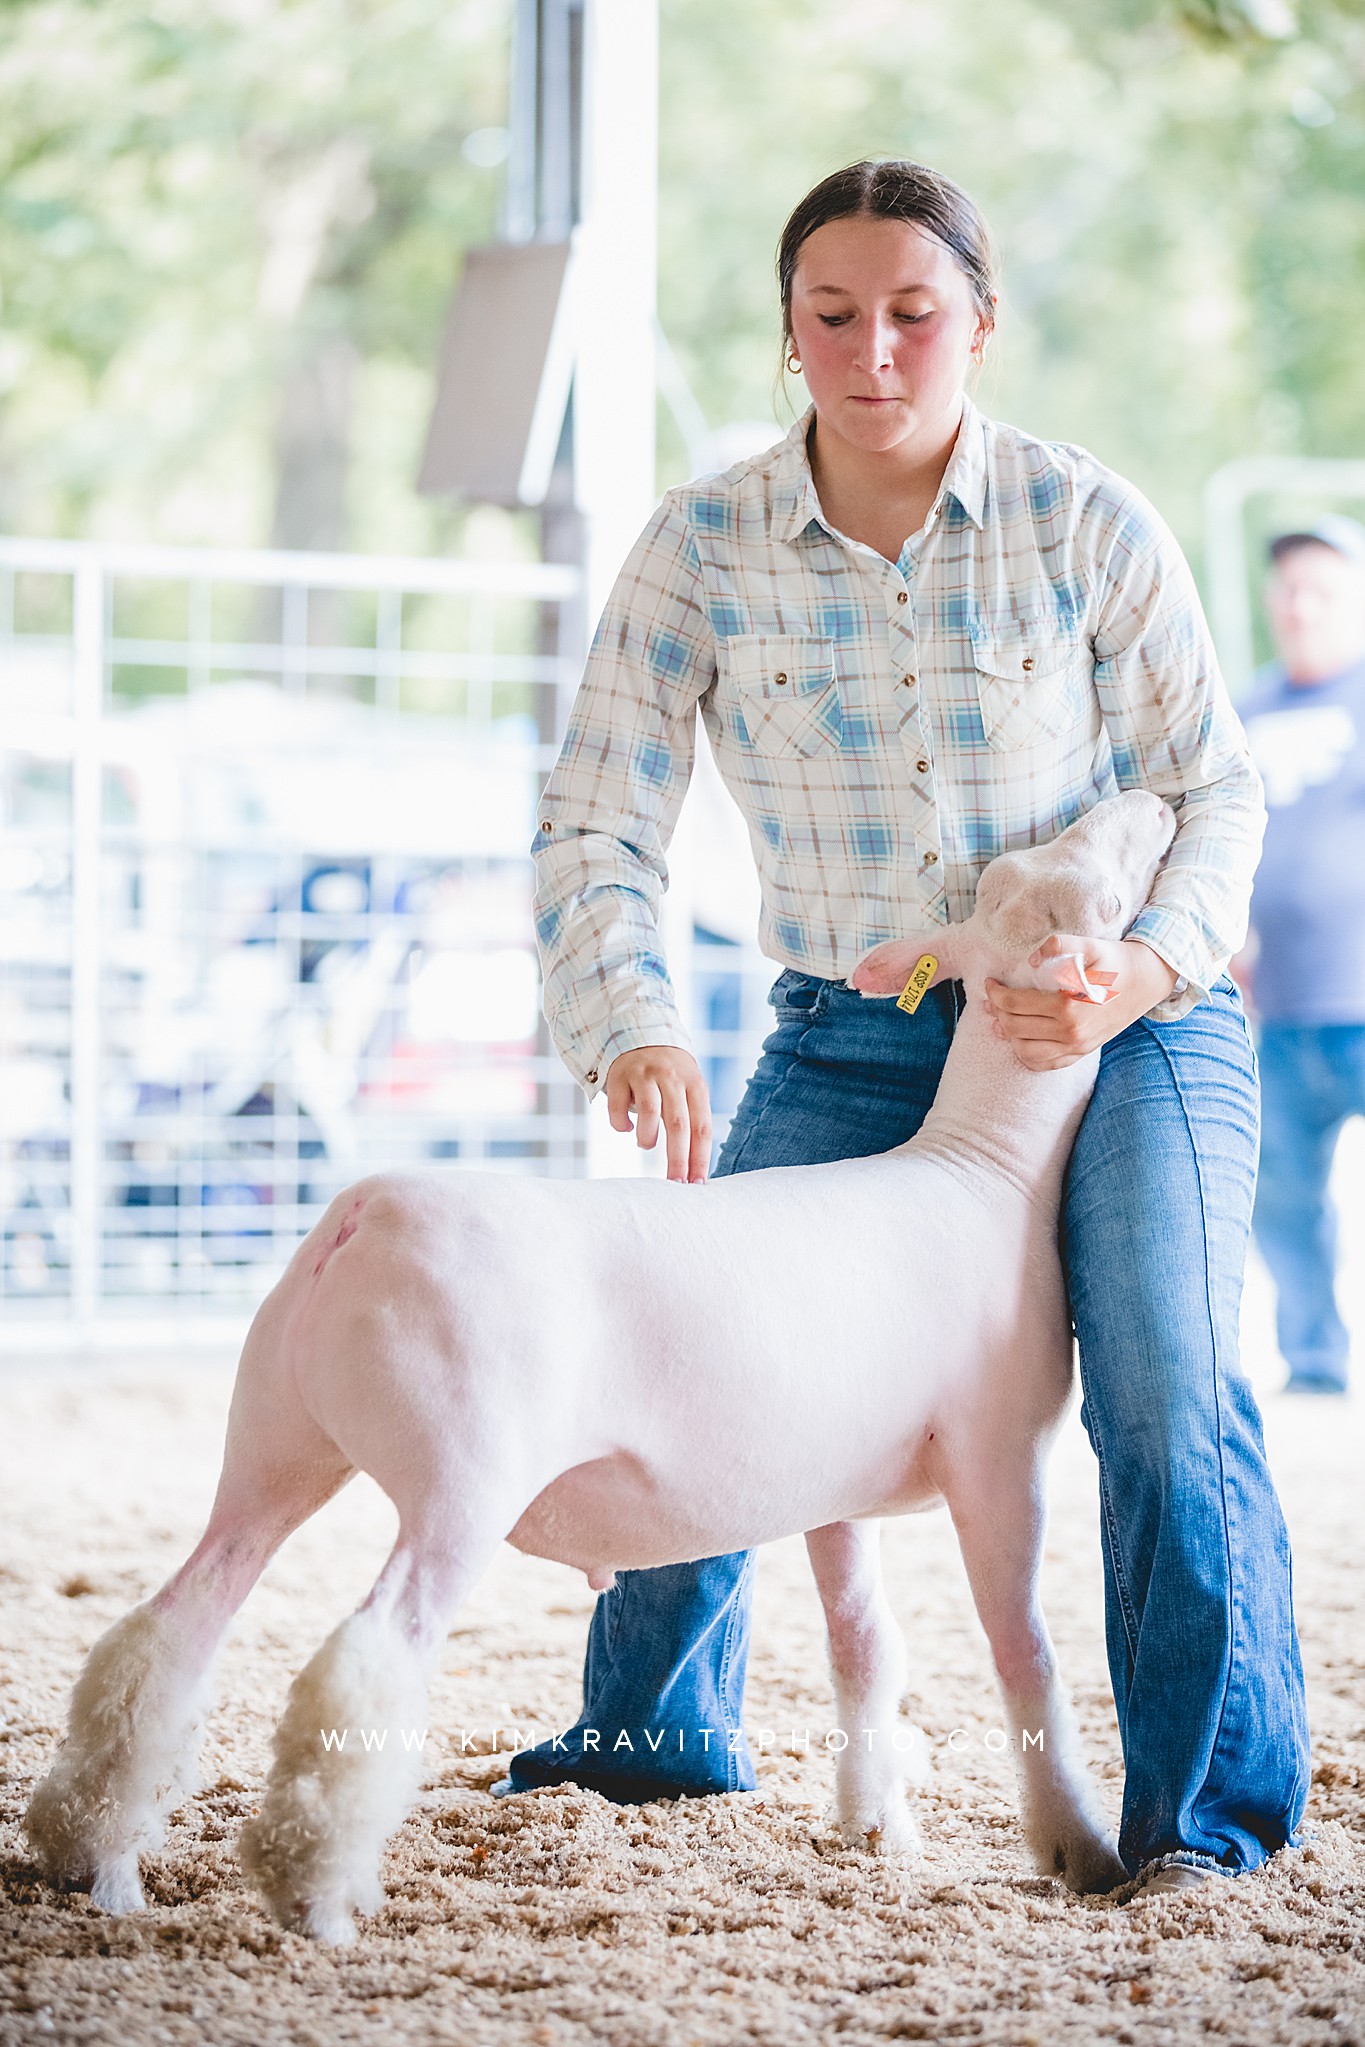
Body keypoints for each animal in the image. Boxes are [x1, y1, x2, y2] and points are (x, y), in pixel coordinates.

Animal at [26, 790, 1178, 1940]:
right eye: (1095, 900)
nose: (1149, 801)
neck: (985, 1166)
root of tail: (362, 1211)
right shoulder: (1000, 1460)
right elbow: (1027, 1653)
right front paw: (1077, 1847)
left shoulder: (839, 1485)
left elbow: (863, 1644)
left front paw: (874, 1825)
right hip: (460, 1475)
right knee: (365, 1660)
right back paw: (316, 1894)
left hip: (275, 1438)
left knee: (165, 1633)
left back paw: (94, 1860)